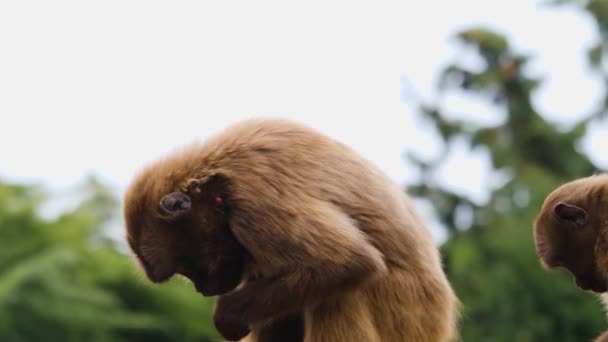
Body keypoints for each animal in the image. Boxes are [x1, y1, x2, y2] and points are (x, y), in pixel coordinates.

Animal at [126, 118, 458, 342]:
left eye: (186, 265)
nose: (202, 289)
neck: (218, 186)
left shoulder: (256, 205)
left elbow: (350, 261)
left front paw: (228, 315)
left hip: (410, 317)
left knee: (339, 294)